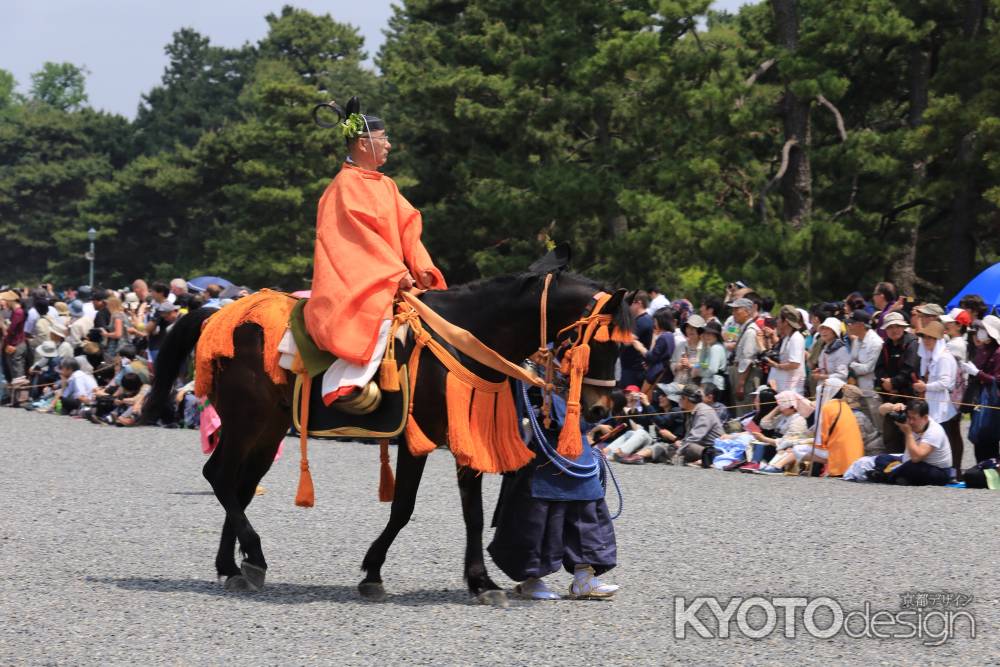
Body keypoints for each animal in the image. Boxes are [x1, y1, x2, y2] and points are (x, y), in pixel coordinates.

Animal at [145, 253, 628, 608]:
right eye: (602, 343)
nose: (601, 408)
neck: (465, 340)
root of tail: (216, 314)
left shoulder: (464, 440)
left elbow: (472, 514)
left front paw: (481, 581)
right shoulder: (418, 440)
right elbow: (403, 509)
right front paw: (373, 572)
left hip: (269, 427)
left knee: (238, 487)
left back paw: (232, 566)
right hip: (247, 419)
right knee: (220, 477)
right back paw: (253, 557)